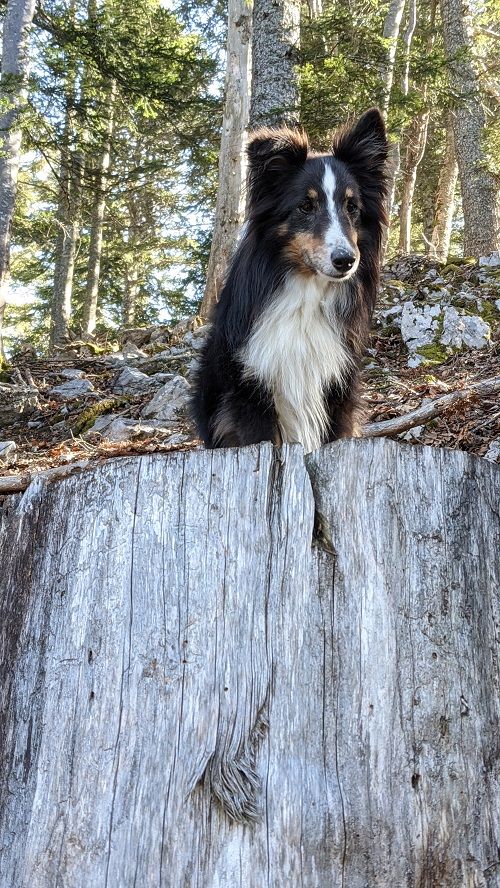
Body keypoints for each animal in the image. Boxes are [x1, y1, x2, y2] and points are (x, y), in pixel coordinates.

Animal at [189, 108, 388, 454]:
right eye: (305, 206)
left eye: (352, 206)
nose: (346, 260)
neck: (306, 292)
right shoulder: (252, 389)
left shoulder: (337, 390)